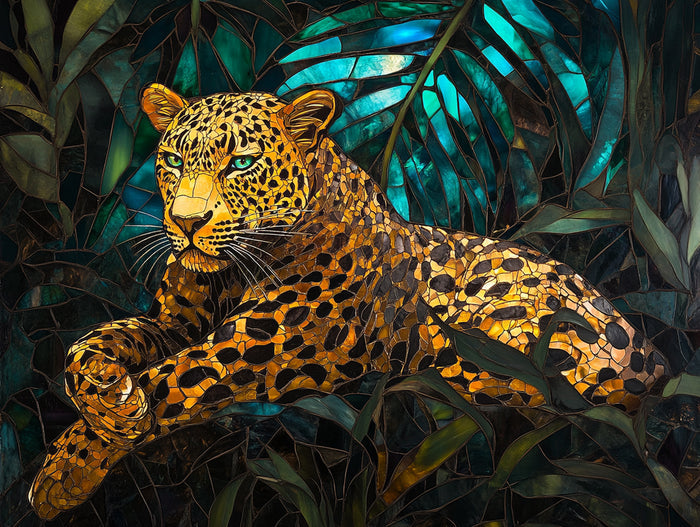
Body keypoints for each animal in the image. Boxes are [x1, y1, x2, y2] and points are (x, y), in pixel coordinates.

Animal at [29, 84, 669, 519]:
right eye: (174, 161)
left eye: (241, 163)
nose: (186, 224)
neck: (227, 275)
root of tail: (658, 365)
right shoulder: (174, 322)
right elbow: (92, 345)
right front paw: (106, 398)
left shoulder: (264, 344)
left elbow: (173, 381)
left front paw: (64, 472)